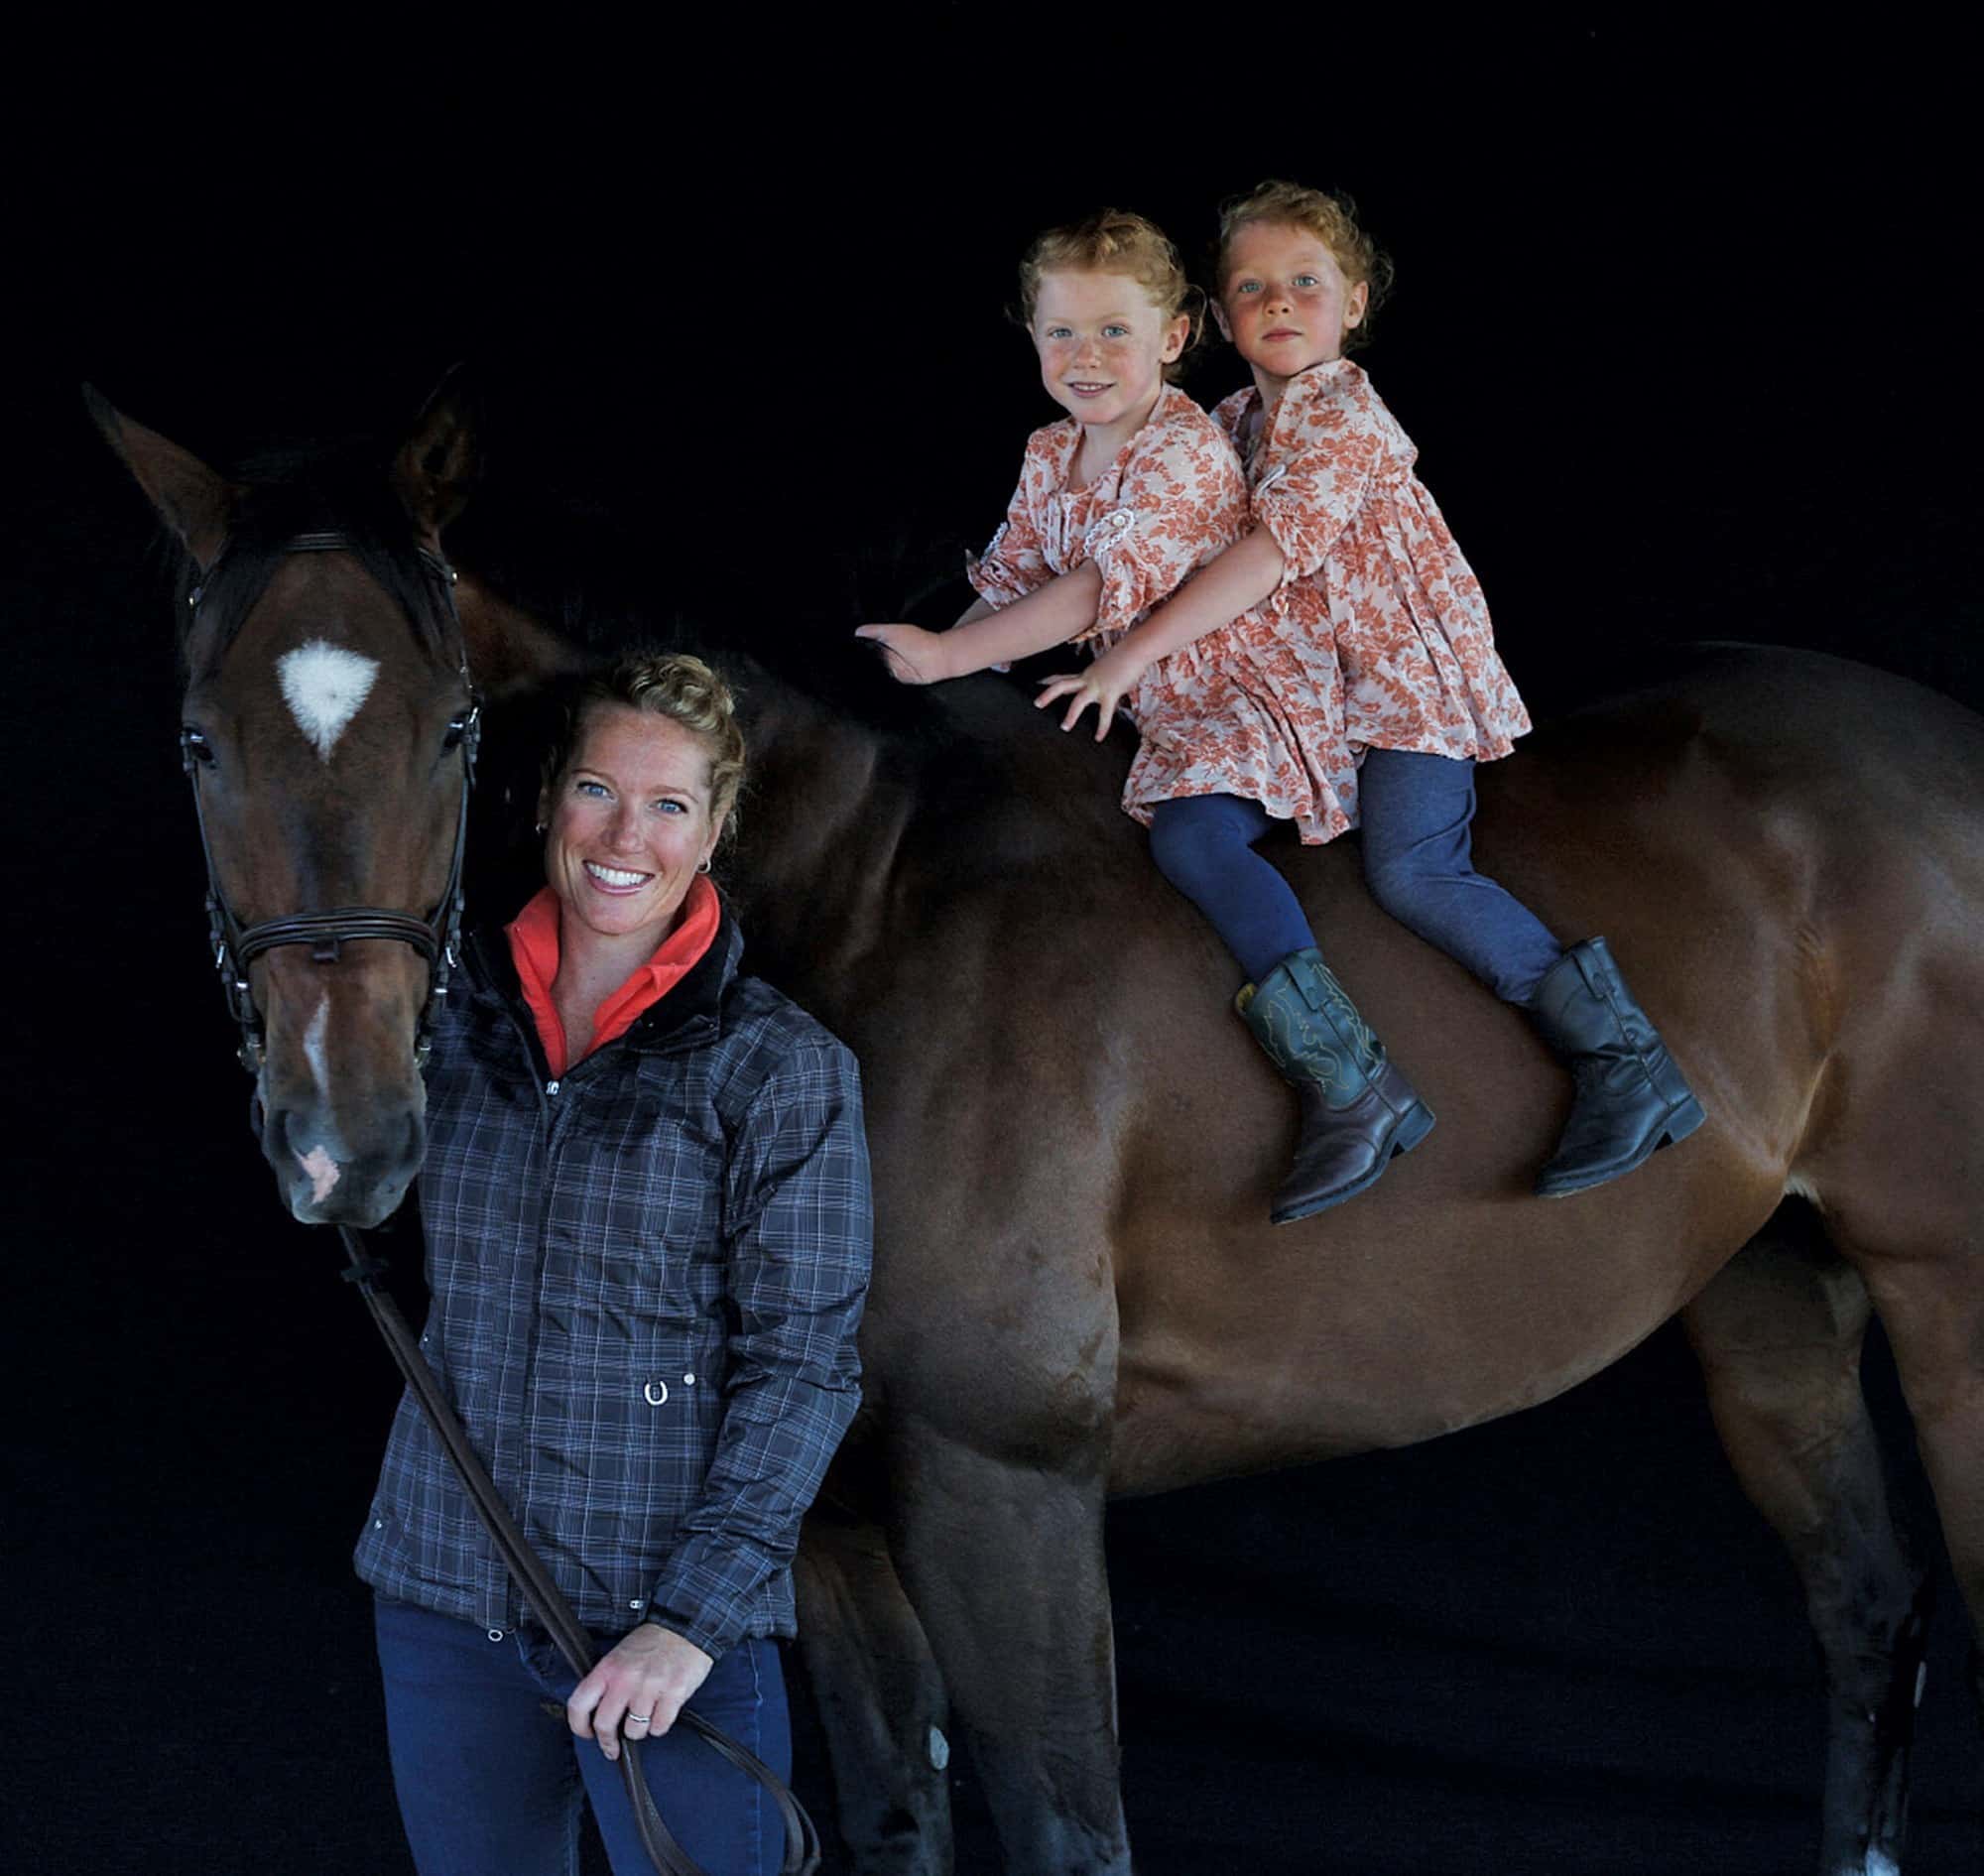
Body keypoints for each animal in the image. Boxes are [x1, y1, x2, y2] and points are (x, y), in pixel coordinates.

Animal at [95, 381, 1984, 1876]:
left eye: (452, 730)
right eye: (195, 739)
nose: (339, 1138)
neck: (869, 908)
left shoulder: (1007, 1492)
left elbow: (1071, 1831)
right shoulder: (832, 1526)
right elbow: (897, 1817)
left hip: (1941, 1305)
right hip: (1766, 1292)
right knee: (1871, 1614)